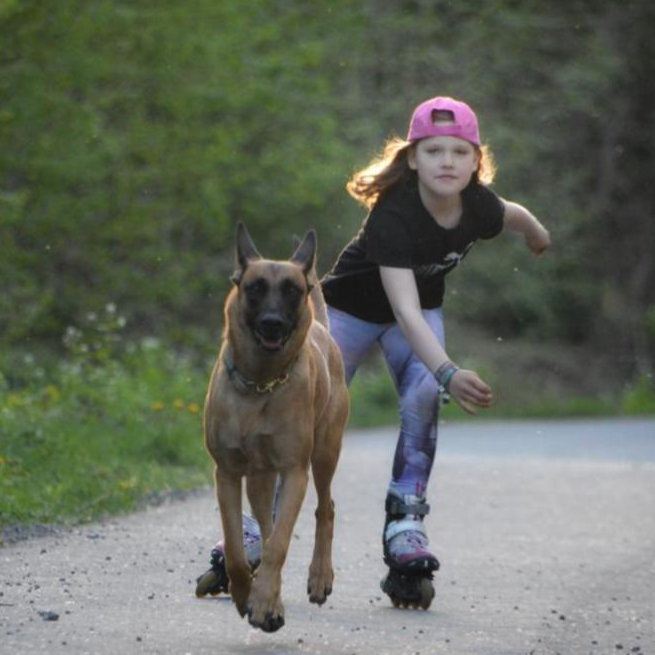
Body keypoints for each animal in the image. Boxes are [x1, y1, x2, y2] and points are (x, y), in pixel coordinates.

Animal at [204, 223, 348, 632]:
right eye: (254, 287)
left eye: (292, 290)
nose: (272, 323)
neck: (260, 384)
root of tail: (321, 329)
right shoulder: (227, 474)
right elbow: (237, 548)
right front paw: (246, 595)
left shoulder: (295, 470)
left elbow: (280, 544)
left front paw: (264, 602)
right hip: (260, 479)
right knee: (266, 526)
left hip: (324, 453)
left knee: (325, 508)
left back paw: (318, 577)